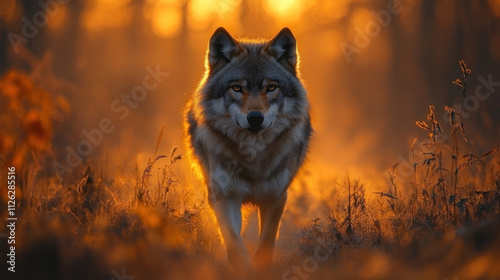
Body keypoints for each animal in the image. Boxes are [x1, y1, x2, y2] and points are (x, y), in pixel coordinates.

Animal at [184, 27, 312, 270]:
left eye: (271, 88)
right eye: (237, 88)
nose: (254, 118)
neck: (253, 156)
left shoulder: (276, 197)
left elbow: (266, 243)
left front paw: (261, 267)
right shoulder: (224, 197)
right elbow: (235, 243)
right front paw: (245, 269)